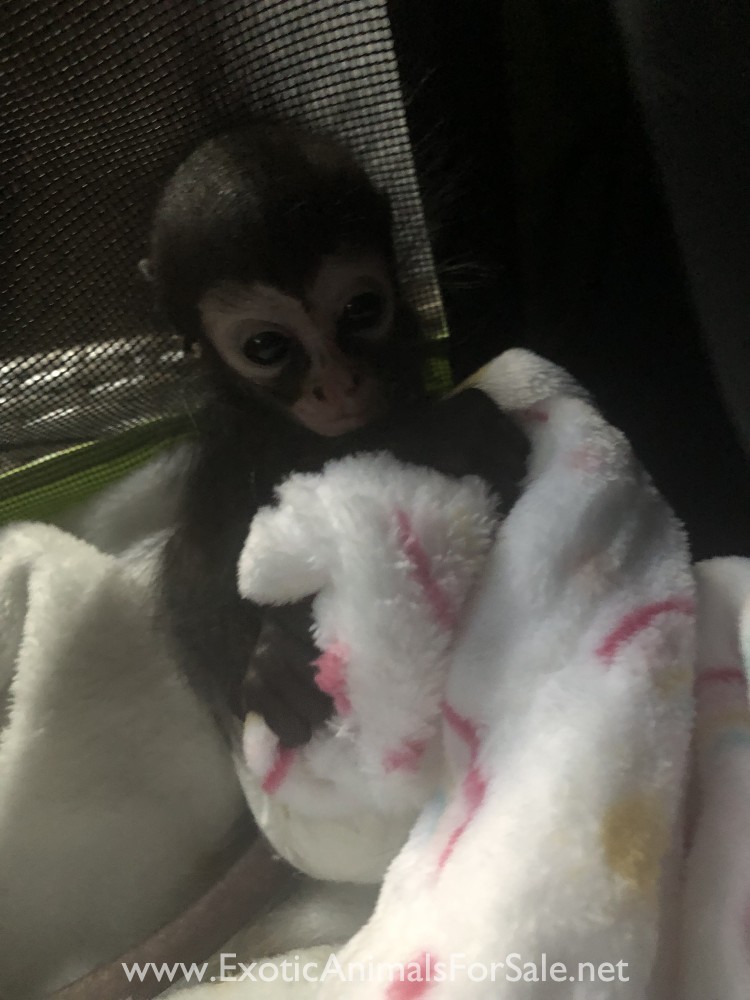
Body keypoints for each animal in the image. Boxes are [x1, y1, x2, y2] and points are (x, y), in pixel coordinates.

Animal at [146, 122, 527, 750]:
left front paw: (463, 435)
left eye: (362, 308)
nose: (337, 384)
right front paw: (272, 666)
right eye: (266, 347)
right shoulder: (227, 464)